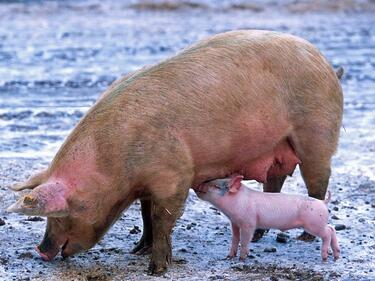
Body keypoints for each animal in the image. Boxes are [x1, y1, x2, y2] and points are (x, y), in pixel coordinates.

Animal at [6, 29, 344, 272]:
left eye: (64, 212)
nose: (41, 250)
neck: (116, 163)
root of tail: (328, 65)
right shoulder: (145, 184)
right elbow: (145, 214)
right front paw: (137, 249)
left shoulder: (174, 173)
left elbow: (162, 217)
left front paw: (155, 268)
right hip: (276, 147)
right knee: (274, 182)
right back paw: (261, 235)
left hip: (317, 133)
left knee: (318, 181)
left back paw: (305, 237)